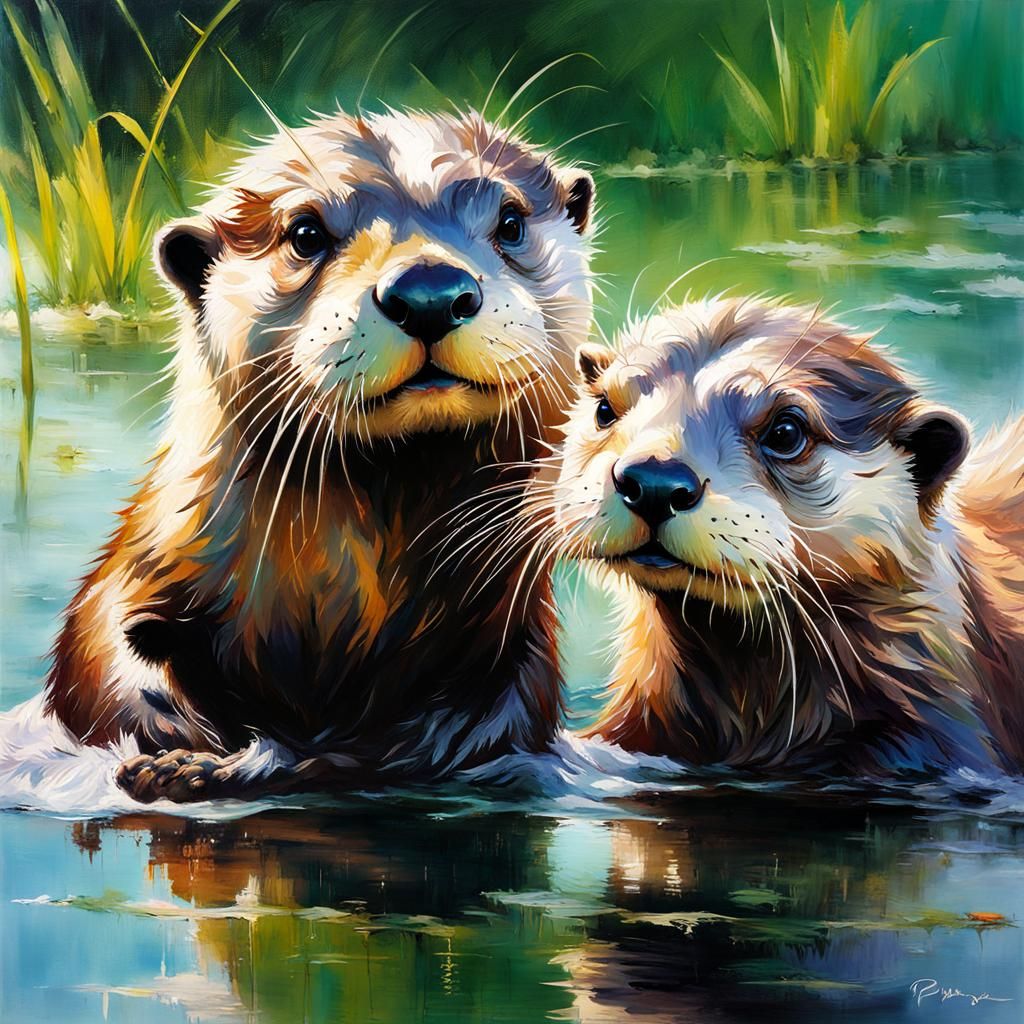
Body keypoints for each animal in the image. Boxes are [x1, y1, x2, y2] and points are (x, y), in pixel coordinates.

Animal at [44, 108, 595, 802]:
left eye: (512, 221)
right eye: (305, 233)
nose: (431, 291)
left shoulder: (511, 648)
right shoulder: (127, 589)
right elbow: (117, 673)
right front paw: (184, 758)